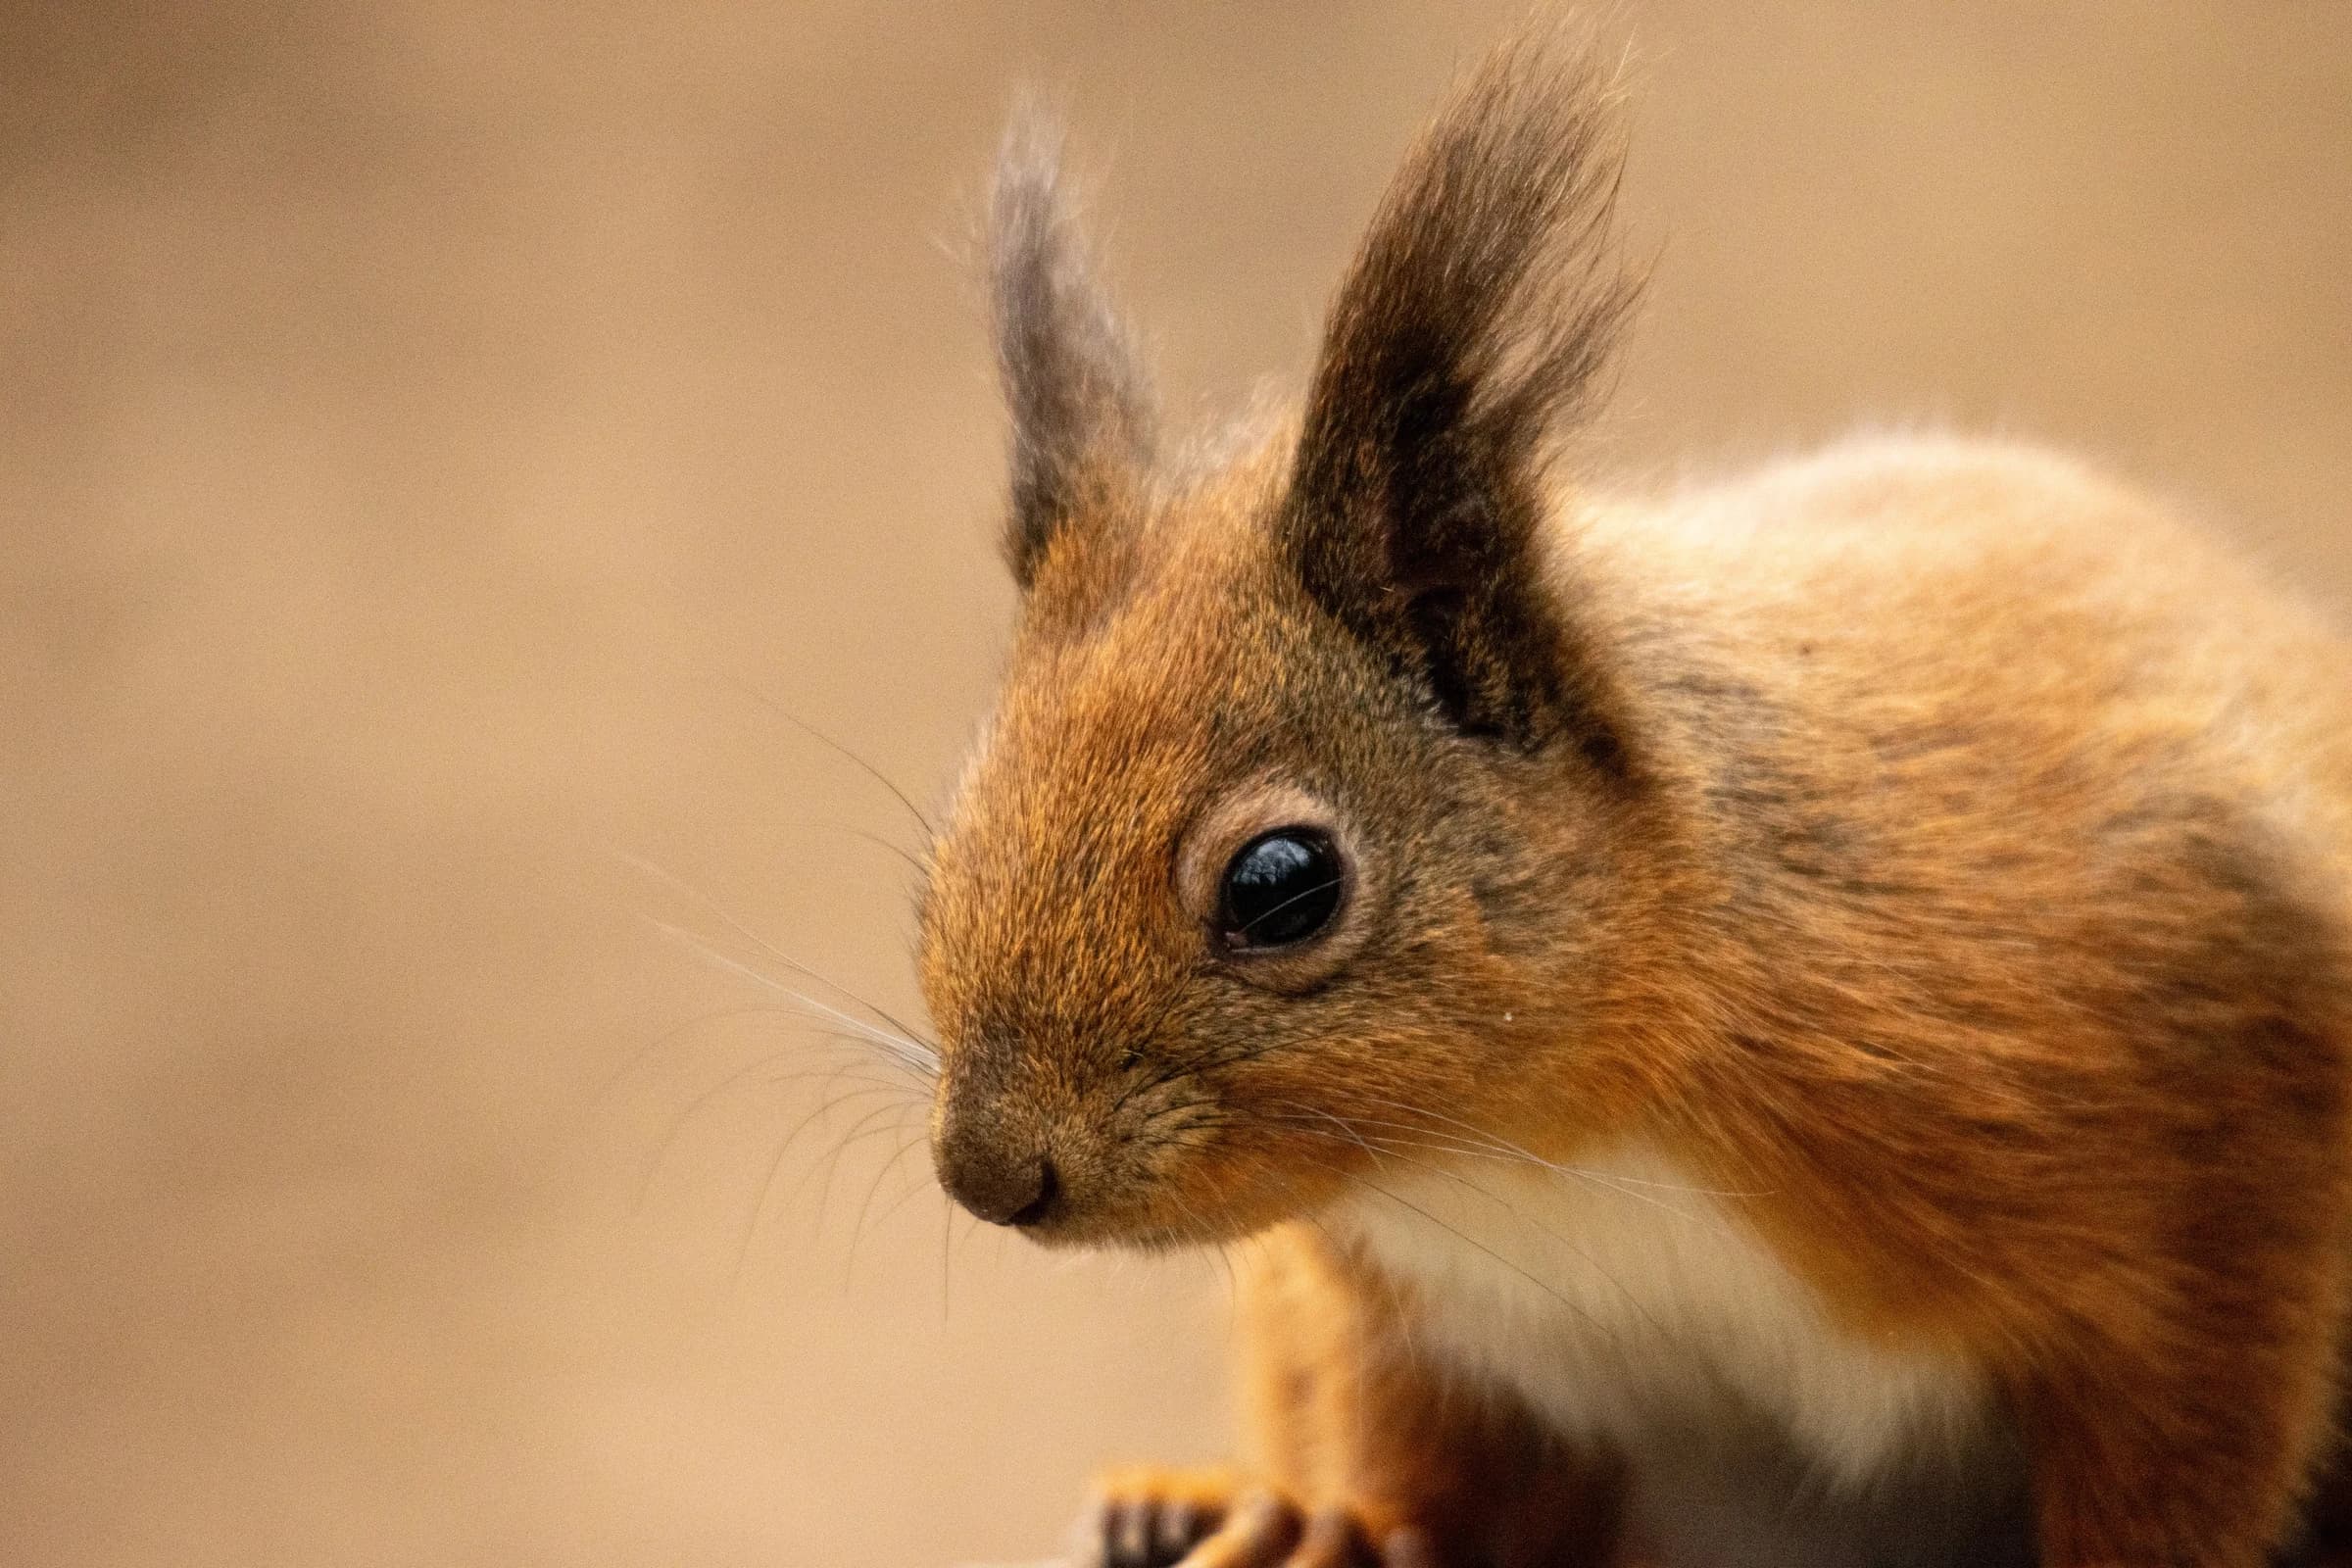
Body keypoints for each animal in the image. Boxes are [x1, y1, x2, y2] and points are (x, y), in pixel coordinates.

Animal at [912, 25, 2352, 1568]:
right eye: (947, 852)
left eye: (1282, 884)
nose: (992, 1177)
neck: (1537, 1149)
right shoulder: (1434, 1336)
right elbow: (1425, 1473)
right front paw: (1329, 1521)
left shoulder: (2216, 1134)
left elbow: (2188, 1447)